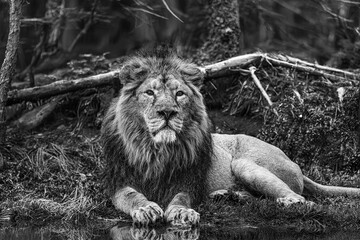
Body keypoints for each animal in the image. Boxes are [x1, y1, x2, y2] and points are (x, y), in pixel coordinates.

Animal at [100, 47, 360, 227]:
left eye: (180, 94)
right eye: (149, 92)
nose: (167, 112)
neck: (157, 150)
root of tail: (294, 162)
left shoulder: (190, 181)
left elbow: (181, 198)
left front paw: (182, 213)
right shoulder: (118, 182)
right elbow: (132, 196)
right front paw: (146, 209)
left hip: (244, 164)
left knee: (301, 198)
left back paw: (289, 201)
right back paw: (227, 195)